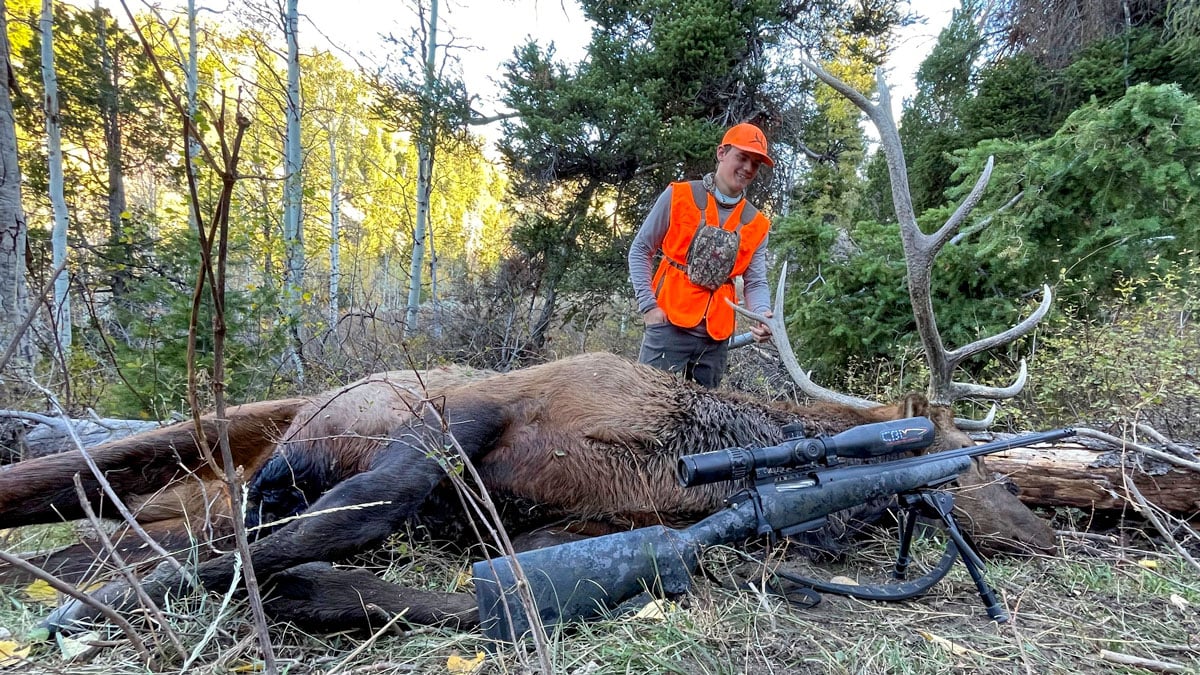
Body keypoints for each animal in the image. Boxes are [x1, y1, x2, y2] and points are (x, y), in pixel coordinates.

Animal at [0, 63, 1053, 635]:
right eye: (962, 470)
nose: (1044, 529)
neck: (674, 452)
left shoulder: (580, 526)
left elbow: (451, 592)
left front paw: (296, 594)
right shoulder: (482, 406)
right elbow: (350, 516)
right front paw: (130, 599)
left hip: (203, 479)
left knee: (112, 526)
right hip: (246, 423)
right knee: (86, 482)